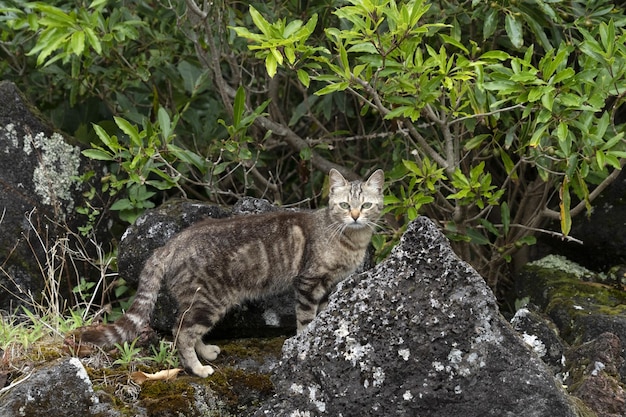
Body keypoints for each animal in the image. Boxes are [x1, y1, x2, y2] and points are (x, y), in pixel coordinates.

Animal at [75, 167, 382, 376]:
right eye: (344, 205)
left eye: (366, 205)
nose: (356, 216)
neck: (349, 241)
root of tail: (171, 243)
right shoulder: (309, 283)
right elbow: (306, 320)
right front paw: (304, 343)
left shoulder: (329, 286)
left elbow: (323, 315)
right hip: (208, 301)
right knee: (180, 331)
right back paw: (198, 369)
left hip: (200, 302)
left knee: (185, 327)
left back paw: (206, 352)